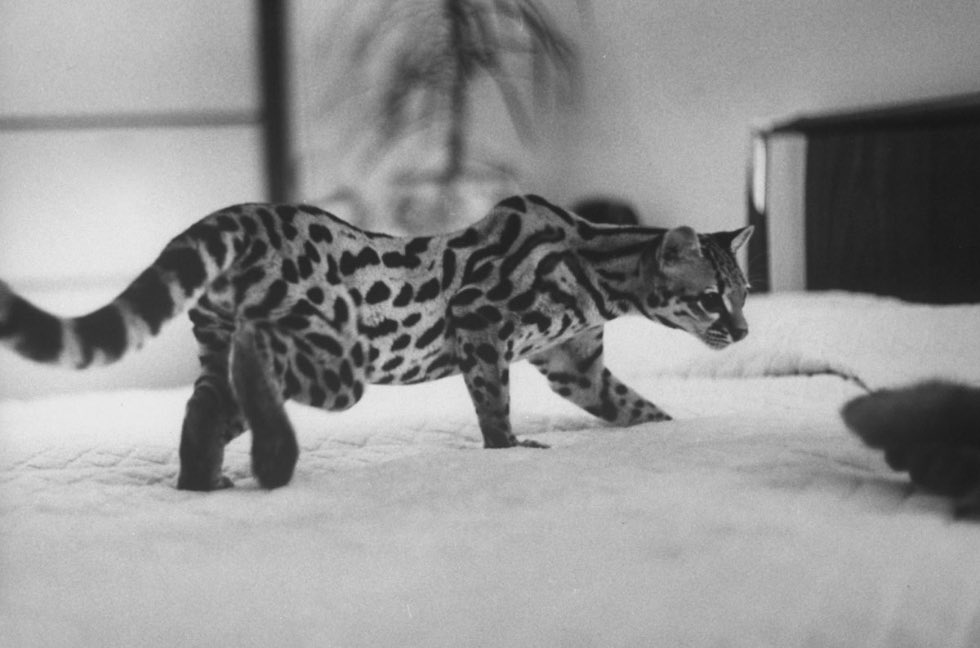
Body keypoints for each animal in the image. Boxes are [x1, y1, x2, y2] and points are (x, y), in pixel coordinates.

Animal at [0, 194, 753, 490]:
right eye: (711, 297)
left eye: (743, 293)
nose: (744, 330)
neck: (596, 264)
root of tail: (233, 215)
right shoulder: (479, 321)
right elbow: (494, 407)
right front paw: (509, 449)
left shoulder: (577, 366)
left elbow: (637, 408)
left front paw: (668, 426)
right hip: (339, 358)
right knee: (258, 362)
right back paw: (270, 460)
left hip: (217, 346)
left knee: (204, 408)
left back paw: (203, 483)